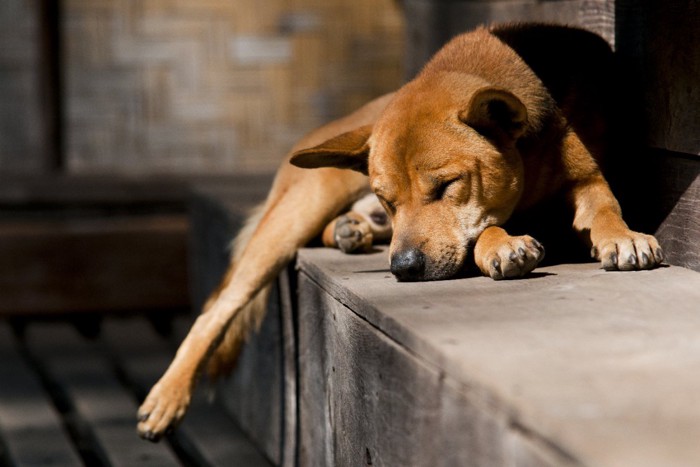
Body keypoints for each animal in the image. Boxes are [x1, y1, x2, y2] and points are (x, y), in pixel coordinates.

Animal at [135, 23, 660, 440]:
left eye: (446, 185)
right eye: (389, 198)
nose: (404, 267)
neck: (529, 154)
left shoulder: (588, 181)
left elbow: (606, 207)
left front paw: (623, 236)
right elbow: (488, 228)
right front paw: (503, 245)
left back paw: (352, 230)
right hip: (300, 208)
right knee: (218, 308)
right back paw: (168, 394)